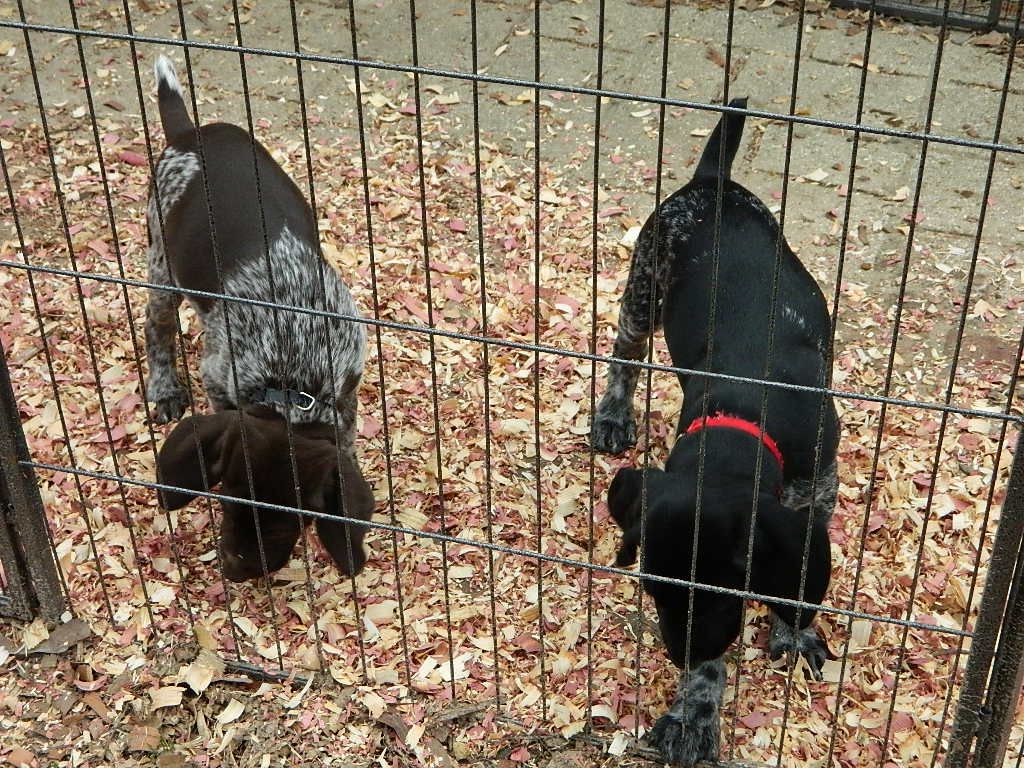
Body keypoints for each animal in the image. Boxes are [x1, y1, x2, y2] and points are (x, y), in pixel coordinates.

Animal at [144, 55, 373, 582]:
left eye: (297, 518)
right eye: (228, 500)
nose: (237, 570)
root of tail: (190, 133)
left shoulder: (347, 385)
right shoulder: (219, 375)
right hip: (162, 264)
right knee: (156, 328)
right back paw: (164, 387)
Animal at [591, 99, 839, 766]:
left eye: (724, 593)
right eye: (653, 590)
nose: (682, 653)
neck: (745, 411)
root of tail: (713, 182)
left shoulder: (817, 487)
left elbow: (798, 574)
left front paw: (793, 632)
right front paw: (696, 707)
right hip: (644, 288)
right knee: (624, 356)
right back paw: (612, 414)